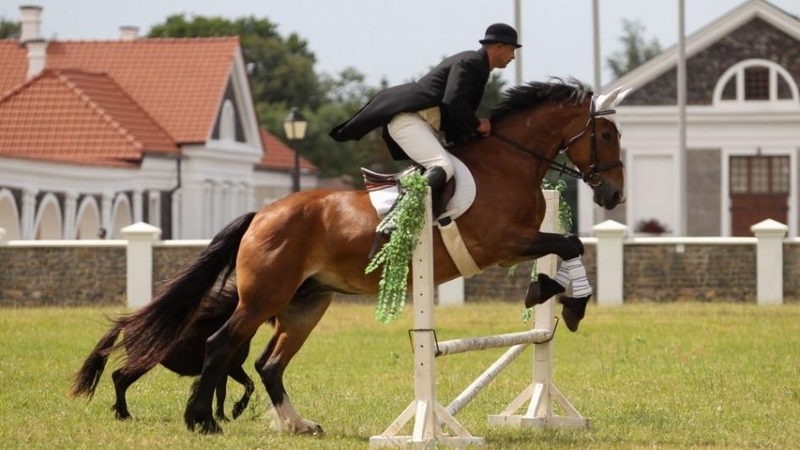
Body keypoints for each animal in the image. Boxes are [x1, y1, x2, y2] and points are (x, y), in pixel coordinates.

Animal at [71, 278, 255, 422]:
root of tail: (127, 323)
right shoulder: (226, 367)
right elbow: (222, 391)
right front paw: (226, 415)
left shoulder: (233, 367)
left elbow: (248, 385)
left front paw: (232, 412)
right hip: (142, 362)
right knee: (119, 378)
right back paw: (124, 414)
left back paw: (121, 414)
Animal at [108, 79, 632, 434]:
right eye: (606, 135)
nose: (614, 195)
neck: (509, 163)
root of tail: (262, 214)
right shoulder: (502, 243)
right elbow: (569, 244)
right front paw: (564, 298)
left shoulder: (516, 242)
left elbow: (568, 245)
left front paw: (560, 296)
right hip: (264, 297)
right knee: (221, 344)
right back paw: (203, 421)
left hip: (306, 303)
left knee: (269, 364)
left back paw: (298, 424)